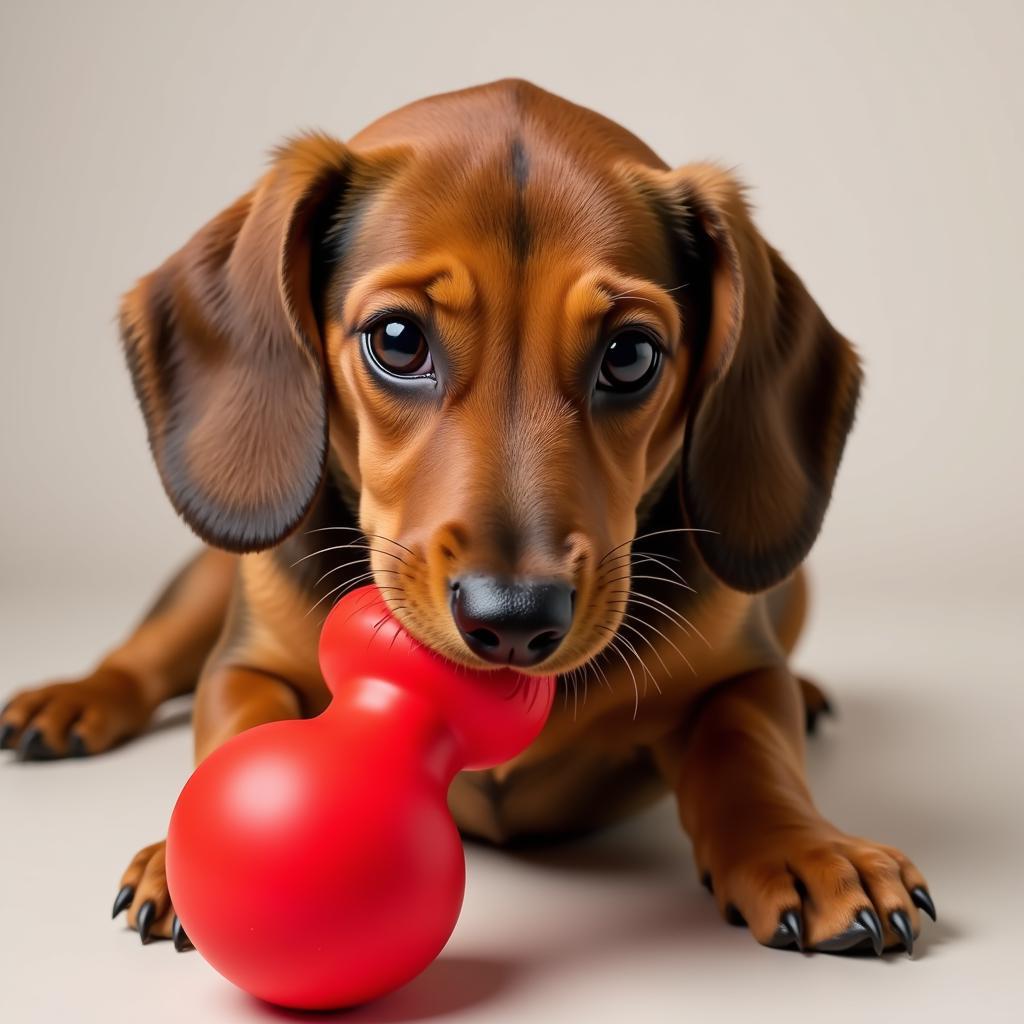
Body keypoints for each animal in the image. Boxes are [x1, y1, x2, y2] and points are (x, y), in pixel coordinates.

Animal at [0, 81, 933, 958]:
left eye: (631, 355)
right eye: (397, 339)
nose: (514, 620)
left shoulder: (738, 677)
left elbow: (750, 750)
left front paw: (808, 849)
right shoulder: (248, 664)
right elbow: (236, 720)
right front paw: (184, 853)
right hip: (210, 579)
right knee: (145, 653)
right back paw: (71, 700)